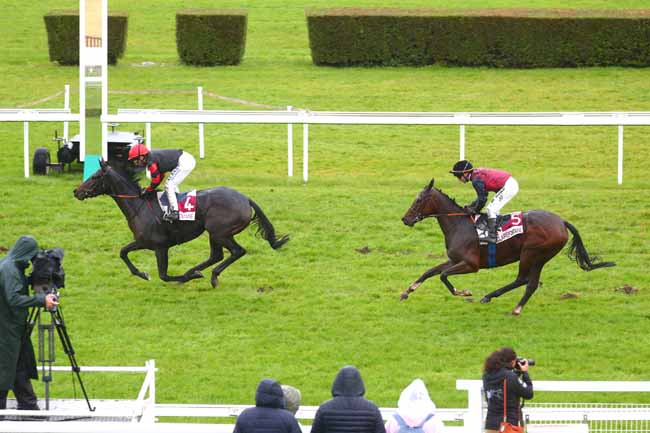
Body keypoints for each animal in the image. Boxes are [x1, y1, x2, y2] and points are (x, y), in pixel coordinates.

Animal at [72, 160, 288, 286]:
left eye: (95, 176)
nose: (76, 191)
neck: (139, 205)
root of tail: (245, 198)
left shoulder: (160, 246)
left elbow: (164, 275)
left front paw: (184, 278)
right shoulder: (143, 242)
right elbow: (123, 252)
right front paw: (142, 273)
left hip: (220, 232)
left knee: (236, 251)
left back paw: (209, 275)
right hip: (214, 233)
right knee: (216, 255)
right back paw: (196, 271)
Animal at [400, 178, 612, 314]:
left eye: (419, 199)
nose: (405, 219)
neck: (459, 224)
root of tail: (561, 221)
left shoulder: (471, 264)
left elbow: (443, 276)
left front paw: (464, 292)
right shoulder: (454, 259)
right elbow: (429, 272)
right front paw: (406, 292)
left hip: (531, 253)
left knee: (523, 280)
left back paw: (501, 302)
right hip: (540, 258)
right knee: (530, 283)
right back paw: (509, 304)